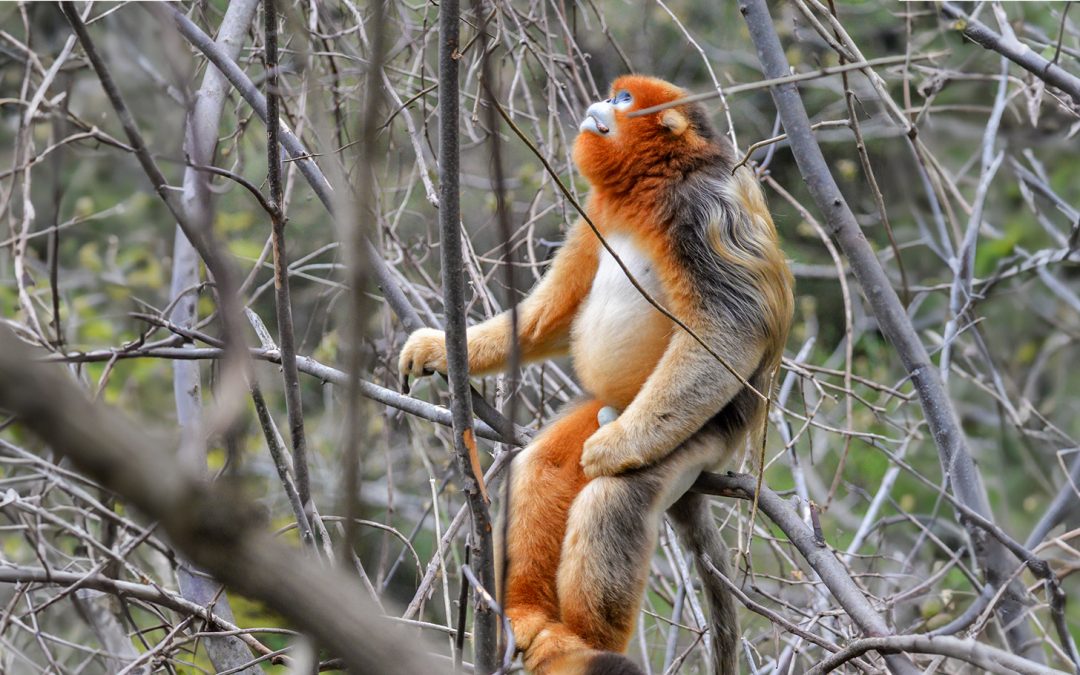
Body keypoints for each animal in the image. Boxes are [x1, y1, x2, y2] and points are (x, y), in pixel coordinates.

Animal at [399, 75, 793, 674]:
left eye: (625, 100)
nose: (604, 103)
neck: (653, 184)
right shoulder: (596, 213)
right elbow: (556, 313)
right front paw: (442, 348)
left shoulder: (704, 208)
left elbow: (732, 326)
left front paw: (615, 450)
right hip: (609, 408)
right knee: (543, 466)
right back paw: (529, 616)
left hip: (699, 434)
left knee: (612, 501)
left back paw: (584, 644)